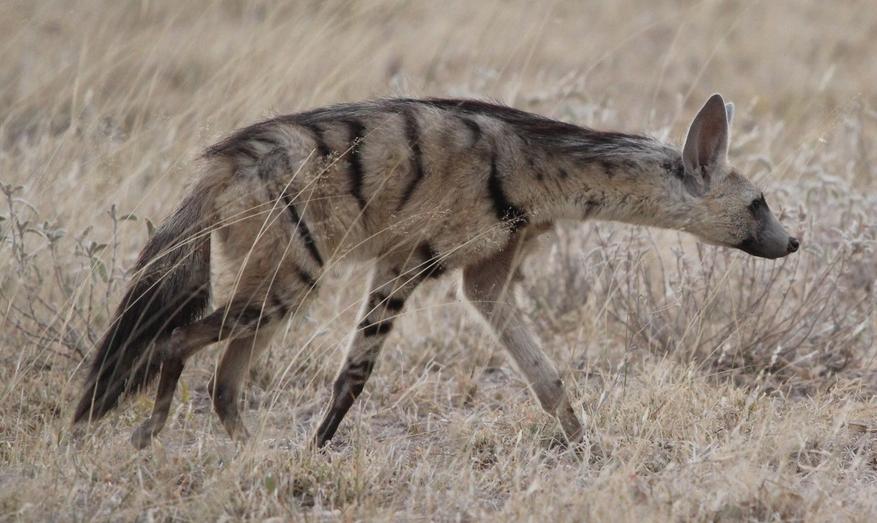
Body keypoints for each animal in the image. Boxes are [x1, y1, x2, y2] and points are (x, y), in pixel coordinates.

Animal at [72, 94, 799, 449]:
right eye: (758, 202)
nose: (793, 240)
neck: (542, 173)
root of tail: (217, 167)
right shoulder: (404, 263)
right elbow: (355, 374)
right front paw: (318, 449)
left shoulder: (485, 276)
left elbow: (547, 376)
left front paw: (584, 443)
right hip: (290, 278)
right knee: (177, 338)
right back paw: (151, 431)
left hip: (276, 282)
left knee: (224, 380)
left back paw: (249, 452)